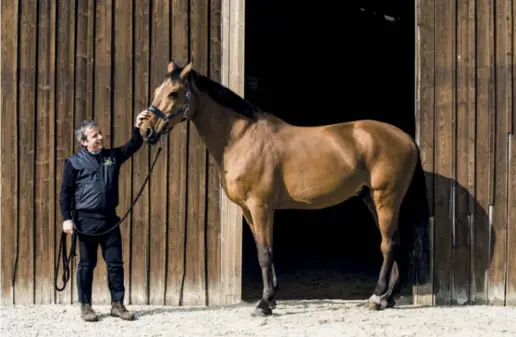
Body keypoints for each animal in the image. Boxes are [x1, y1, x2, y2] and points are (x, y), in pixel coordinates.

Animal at [138, 60, 432, 316]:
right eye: (156, 91)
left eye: (174, 93)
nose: (146, 131)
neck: (242, 138)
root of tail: (406, 138)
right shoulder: (248, 211)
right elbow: (263, 250)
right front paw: (271, 298)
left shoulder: (261, 207)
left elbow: (265, 253)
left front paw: (264, 304)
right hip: (372, 199)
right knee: (395, 243)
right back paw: (389, 298)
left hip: (386, 199)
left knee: (389, 245)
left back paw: (377, 297)